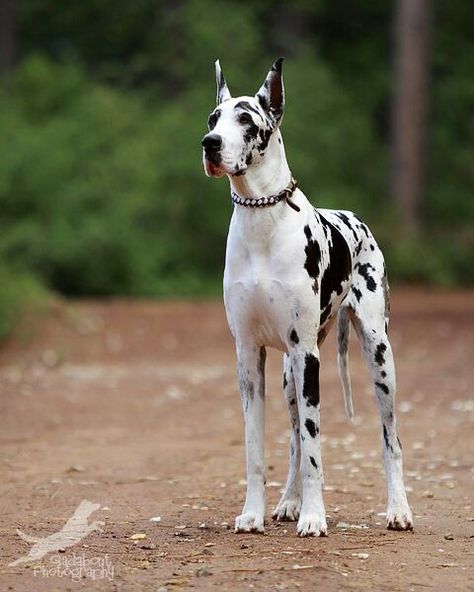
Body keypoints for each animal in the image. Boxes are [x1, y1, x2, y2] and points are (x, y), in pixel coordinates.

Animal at [202, 56, 412, 536]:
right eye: (212, 119)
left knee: (389, 439)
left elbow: (317, 446)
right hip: (288, 377)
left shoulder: (307, 356)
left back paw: (398, 509)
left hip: (378, 357)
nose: (210, 144)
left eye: (246, 119)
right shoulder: (249, 356)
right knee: (296, 438)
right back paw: (288, 501)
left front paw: (315, 517)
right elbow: (257, 449)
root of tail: (354, 216)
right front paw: (254, 512)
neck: (262, 219)